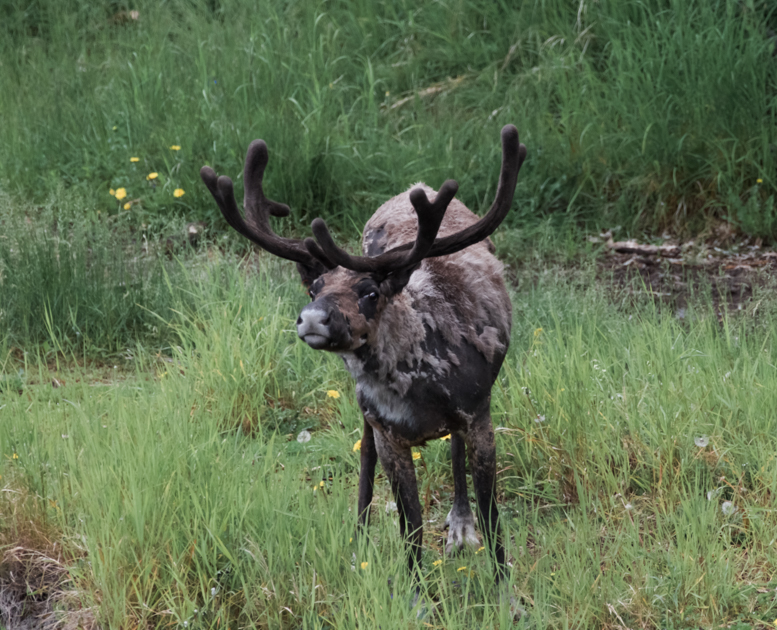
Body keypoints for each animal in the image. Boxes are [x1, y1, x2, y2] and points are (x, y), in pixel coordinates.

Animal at [200, 125, 527, 587]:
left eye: (371, 292)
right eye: (314, 287)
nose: (313, 318)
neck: (419, 391)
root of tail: (417, 189)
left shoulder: (478, 410)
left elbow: (492, 514)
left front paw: (502, 589)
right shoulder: (387, 431)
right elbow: (410, 524)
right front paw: (414, 592)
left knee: (454, 450)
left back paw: (460, 524)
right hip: (364, 413)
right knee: (365, 452)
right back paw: (359, 535)